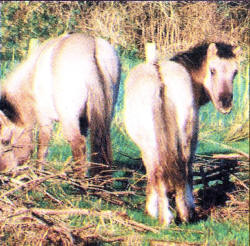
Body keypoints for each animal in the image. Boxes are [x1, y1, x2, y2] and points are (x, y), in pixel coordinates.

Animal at [0, 33, 121, 173]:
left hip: (68, 119)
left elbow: (42, 148)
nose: (5, 170)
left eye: (5, 141)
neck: (32, 76)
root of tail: (90, 45)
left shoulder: (44, 119)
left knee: (77, 145)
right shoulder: (83, 122)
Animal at [124, 41, 241, 225]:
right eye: (212, 70)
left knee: (165, 171)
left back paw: (170, 216)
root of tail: (160, 79)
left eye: (235, 72)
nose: (225, 104)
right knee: (176, 169)